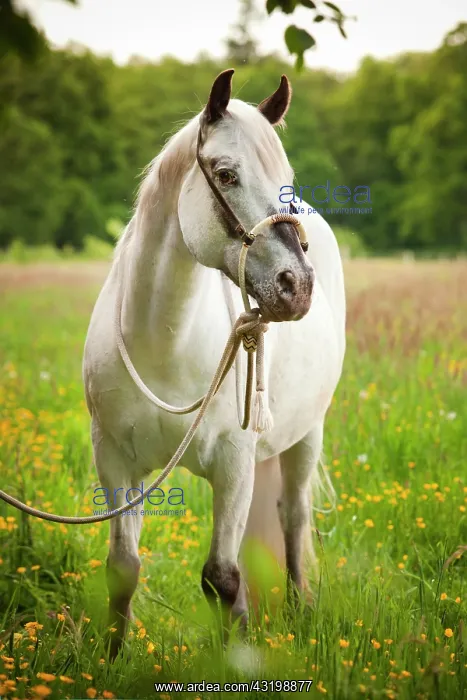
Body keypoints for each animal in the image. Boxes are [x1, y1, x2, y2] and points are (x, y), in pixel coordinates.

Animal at [83, 69, 346, 658]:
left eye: (286, 182)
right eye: (225, 174)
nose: (297, 287)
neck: (163, 343)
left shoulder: (233, 462)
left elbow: (221, 577)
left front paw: (235, 659)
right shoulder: (115, 461)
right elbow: (123, 568)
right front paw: (108, 661)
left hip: (307, 434)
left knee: (293, 518)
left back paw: (301, 608)